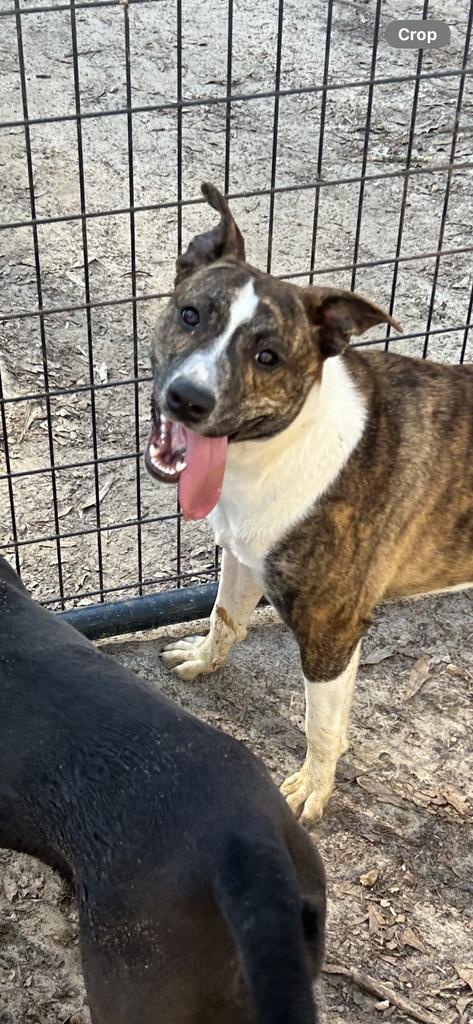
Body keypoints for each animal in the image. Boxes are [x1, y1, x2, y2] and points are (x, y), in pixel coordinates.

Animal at [145, 182, 473, 823]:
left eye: (268, 357)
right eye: (191, 315)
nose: (188, 399)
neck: (277, 448)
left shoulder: (333, 629)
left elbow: (321, 723)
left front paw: (311, 787)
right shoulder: (244, 555)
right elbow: (224, 616)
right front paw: (204, 658)